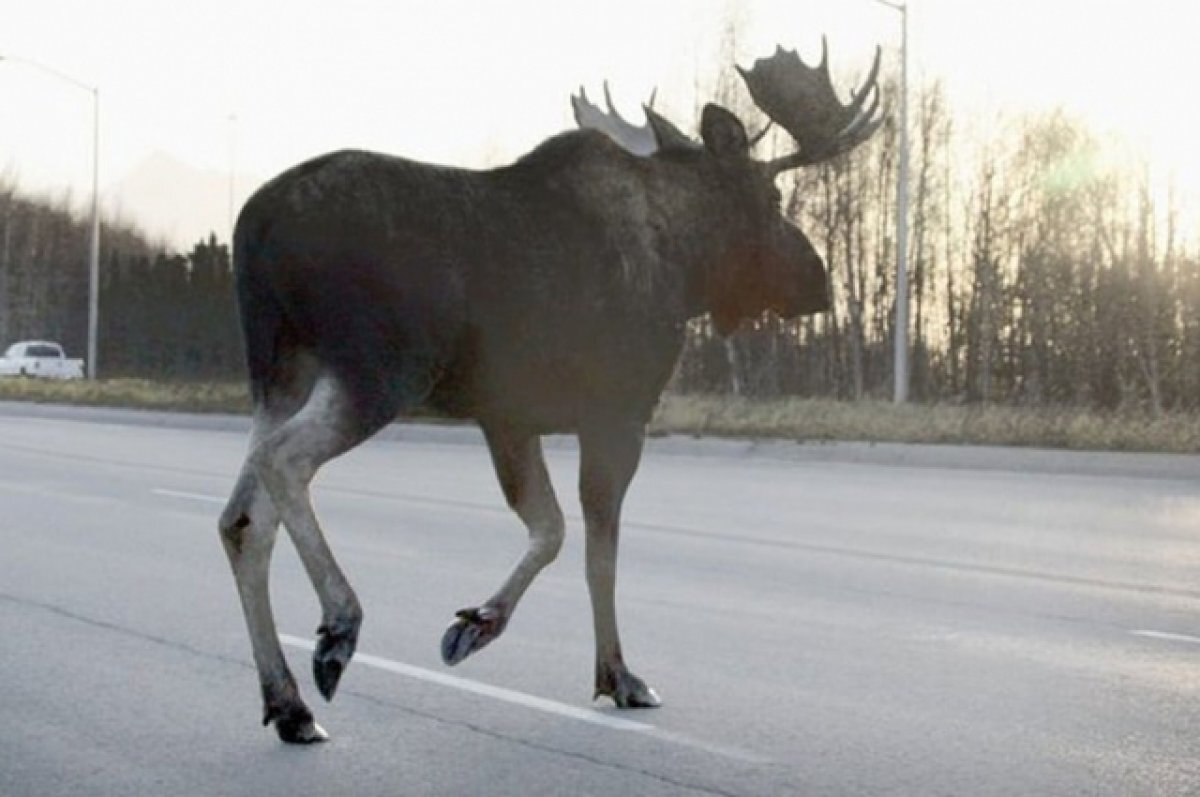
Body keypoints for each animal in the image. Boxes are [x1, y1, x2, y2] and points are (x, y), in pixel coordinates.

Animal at [218, 40, 883, 744]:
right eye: (772, 195)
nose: (819, 283)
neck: (688, 264)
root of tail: (253, 227)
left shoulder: (511, 417)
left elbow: (549, 527)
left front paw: (476, 624)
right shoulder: (617, 412)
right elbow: (596, 548)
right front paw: (616, 675)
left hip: (282, 371)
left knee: (243, 520)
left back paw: (288, 704)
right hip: (377, 371)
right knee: (284, 462)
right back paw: (338, 631)